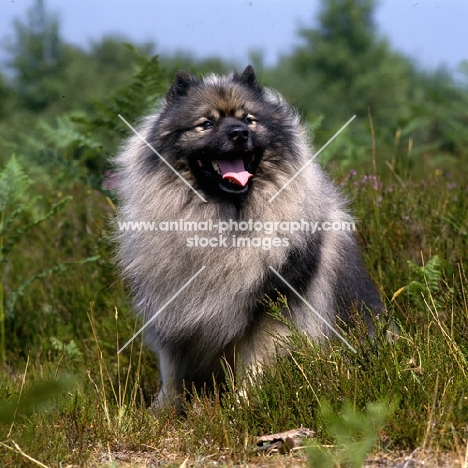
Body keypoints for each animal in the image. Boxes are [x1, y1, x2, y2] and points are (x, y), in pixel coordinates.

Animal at [114, 66, 384, 410]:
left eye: (249, 120)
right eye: (207, 123)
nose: (239, 134)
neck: (224, 218)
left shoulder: (269, 309)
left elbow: (255, 363)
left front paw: (241, 406)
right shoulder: (174, 312)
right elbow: (172, 373)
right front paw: (161, 412)